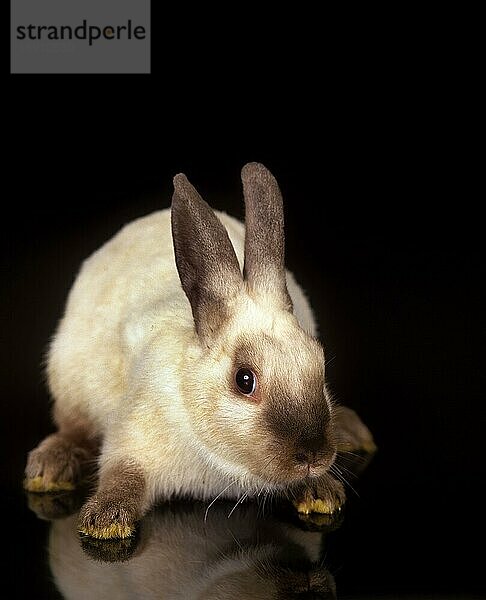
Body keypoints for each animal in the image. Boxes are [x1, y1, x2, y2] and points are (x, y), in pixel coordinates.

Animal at [24, 163, 376, 540]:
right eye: (244, 380)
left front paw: (321, 492)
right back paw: (49, 468)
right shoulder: (131, 439)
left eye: (320, 365)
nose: (314, 455)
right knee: (71, 427)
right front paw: (105, 522)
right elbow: (121, 475)